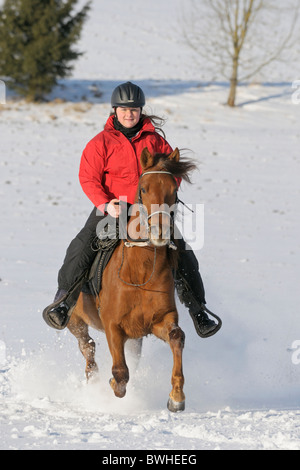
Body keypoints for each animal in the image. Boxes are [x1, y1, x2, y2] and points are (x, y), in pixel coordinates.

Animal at [67, 147, 196, 412]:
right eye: (144, 188)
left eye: (174, 189)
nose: (160, 231)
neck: (141, 271)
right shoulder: (112, 325)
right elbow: (120, 373)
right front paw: (111, 384)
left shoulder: (160, 320)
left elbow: (177, 337)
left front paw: (177, 397)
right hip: (75, 321)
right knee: (87, 346)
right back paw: (93, 379)